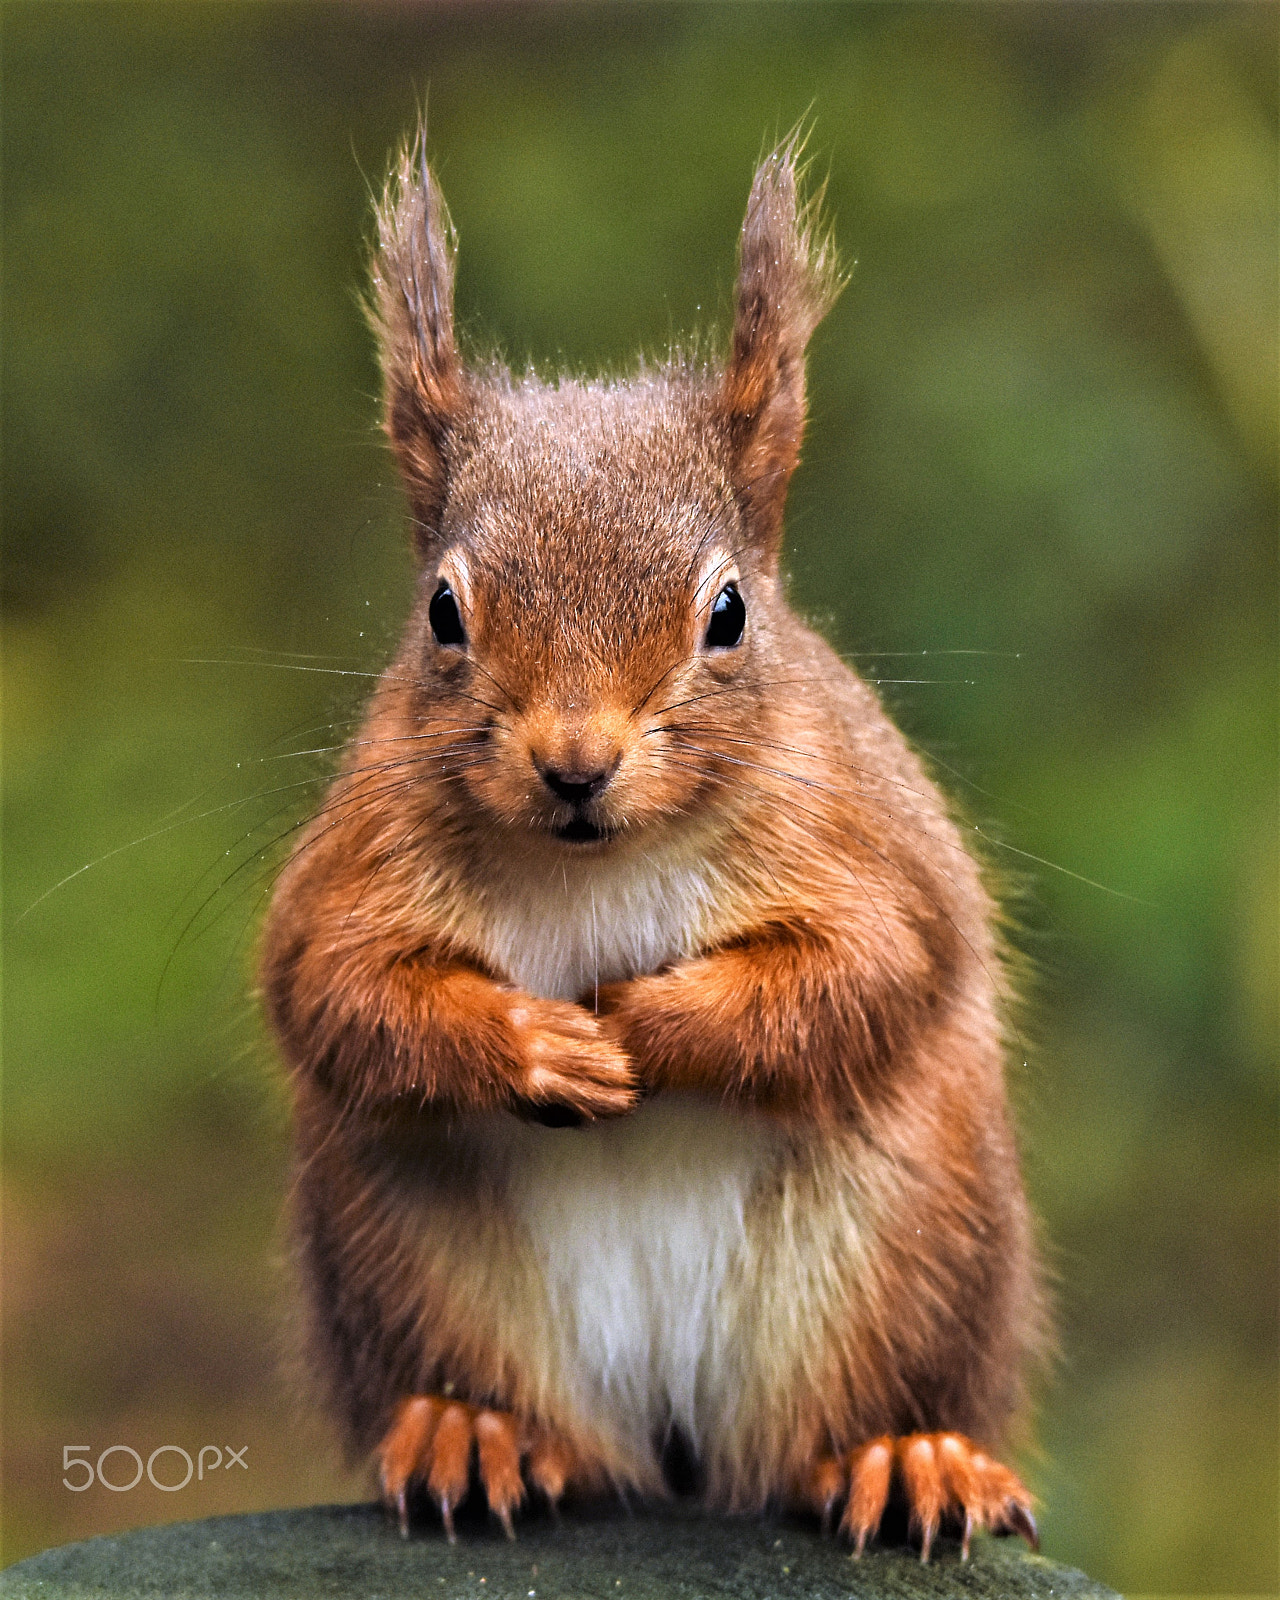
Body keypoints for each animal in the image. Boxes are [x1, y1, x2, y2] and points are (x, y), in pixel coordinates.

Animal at [262, 134, 1049, 1561]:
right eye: (442, 611)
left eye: (728, 612)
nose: (574, 764)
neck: (595, 865)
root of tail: (671, 1436)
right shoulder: (353, 869)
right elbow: (339, 993)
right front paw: (543, 1044)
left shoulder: (864, 850)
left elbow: (862, 972)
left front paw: (642, 1019)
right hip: (415, 1267)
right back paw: (473, 1432)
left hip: (905, 1252)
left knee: (854, 1408)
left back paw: (903, 1455)